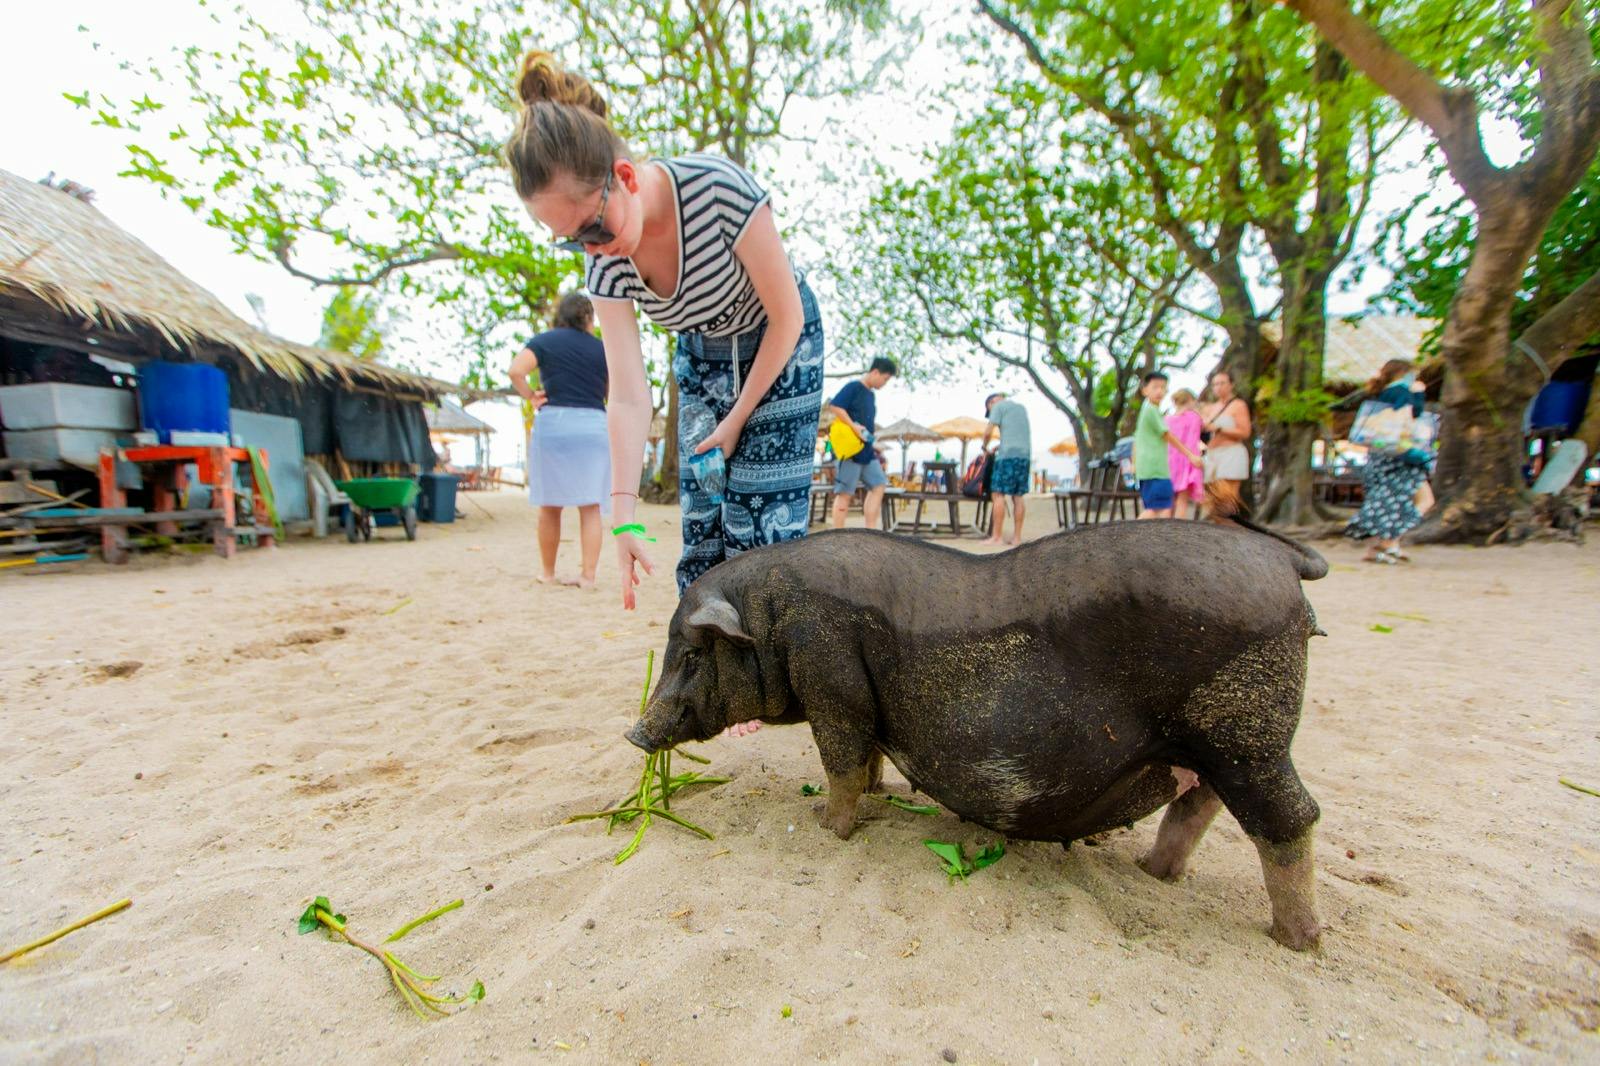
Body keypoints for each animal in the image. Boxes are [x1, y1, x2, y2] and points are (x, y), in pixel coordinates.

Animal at [625, 519, 1328, 950]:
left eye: (692, 654)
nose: (634, 734)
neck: (771, 620)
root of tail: (1279, 557)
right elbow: (869, 760)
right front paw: (877, 799)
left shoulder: (831, 679)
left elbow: (843, 761)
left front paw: (829, 828)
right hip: (1218, 747)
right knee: (1200, 805)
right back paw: (1153, 873)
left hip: (1246, 735)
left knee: (1291, 819)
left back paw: (1297, 941)